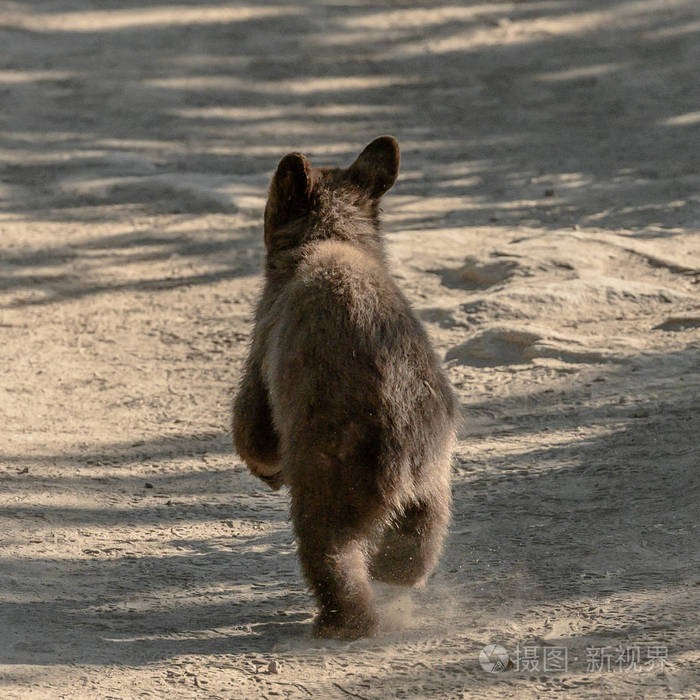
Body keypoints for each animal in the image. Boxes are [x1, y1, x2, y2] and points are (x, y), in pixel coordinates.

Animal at [232, 136, 457, 640]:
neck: (333, 236)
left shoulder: (267, 333)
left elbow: (253, 420)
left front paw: (265, 467)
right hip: (435, 474)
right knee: (418, 541)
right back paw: (394, 576)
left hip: (335, 463)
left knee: (328, 545)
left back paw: (341, 622)